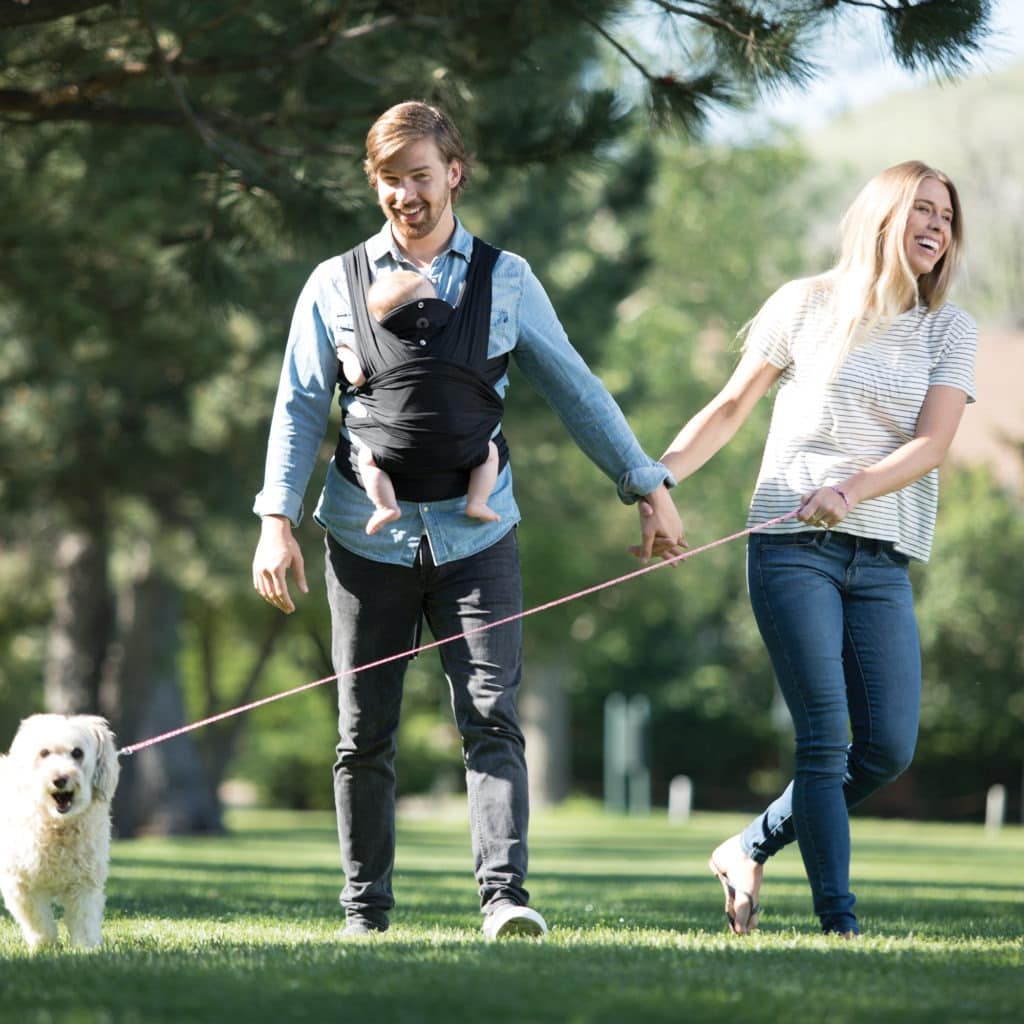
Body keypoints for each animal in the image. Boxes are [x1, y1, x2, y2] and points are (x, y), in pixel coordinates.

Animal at [1, 716, 119, 946]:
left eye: (77, 753)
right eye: (44, 752)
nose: (60, 779)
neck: (57, 824)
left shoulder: (85, 880)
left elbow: (84, 918)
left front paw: (87, 947)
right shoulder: (21, 883)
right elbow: (37, 918)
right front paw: (44, 944)